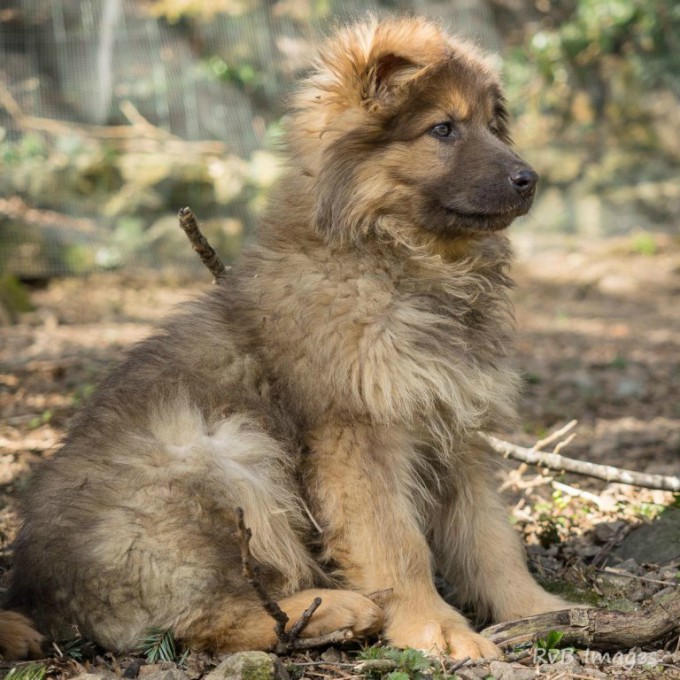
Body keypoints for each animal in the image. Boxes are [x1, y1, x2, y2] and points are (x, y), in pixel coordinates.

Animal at [2, 18, 568, 660]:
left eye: (492, 126)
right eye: (443, 129)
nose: (530, 180)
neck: (393, 256)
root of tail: (39, 600)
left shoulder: (457, 432)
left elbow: (492, 539)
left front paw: (539, 610)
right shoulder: (356, 437)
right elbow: (398, 545)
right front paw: (436, 629)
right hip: (216, 449)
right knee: (205, 618)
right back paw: (333, 610)